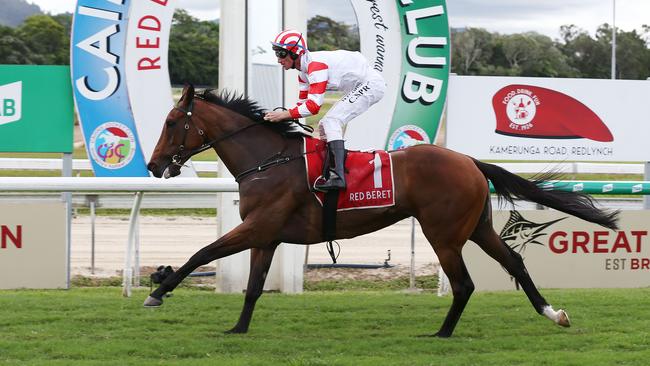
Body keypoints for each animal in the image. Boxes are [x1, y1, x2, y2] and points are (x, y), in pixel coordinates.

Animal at [144, 85, 616, 338]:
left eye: (170, 122)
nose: (152, 166)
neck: (268, 161)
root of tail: (468, 160)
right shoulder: (267, 235)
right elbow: (253, 287)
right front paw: (238, 329)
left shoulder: (258, 227)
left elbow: (202, 253)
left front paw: (158, 289)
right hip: (477, 227)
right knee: (514, 262)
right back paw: (553, 313)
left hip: (443, 233)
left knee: (463, 283)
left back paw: (442, 333)